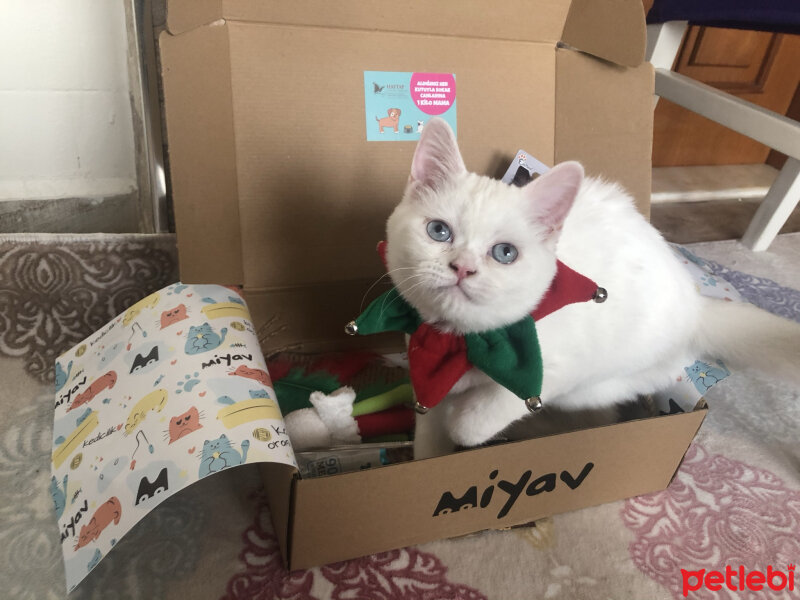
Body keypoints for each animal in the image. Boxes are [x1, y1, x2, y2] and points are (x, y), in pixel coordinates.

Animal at [382, 117, 800, 460]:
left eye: (505, 253)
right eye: (439, 231)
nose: (463, 267)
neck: (463, 343)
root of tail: (697, 303)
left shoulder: (563, 367)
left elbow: (486, 414)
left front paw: (465, 418)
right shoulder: (424, 364)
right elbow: (428, 434)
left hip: (603, 382)